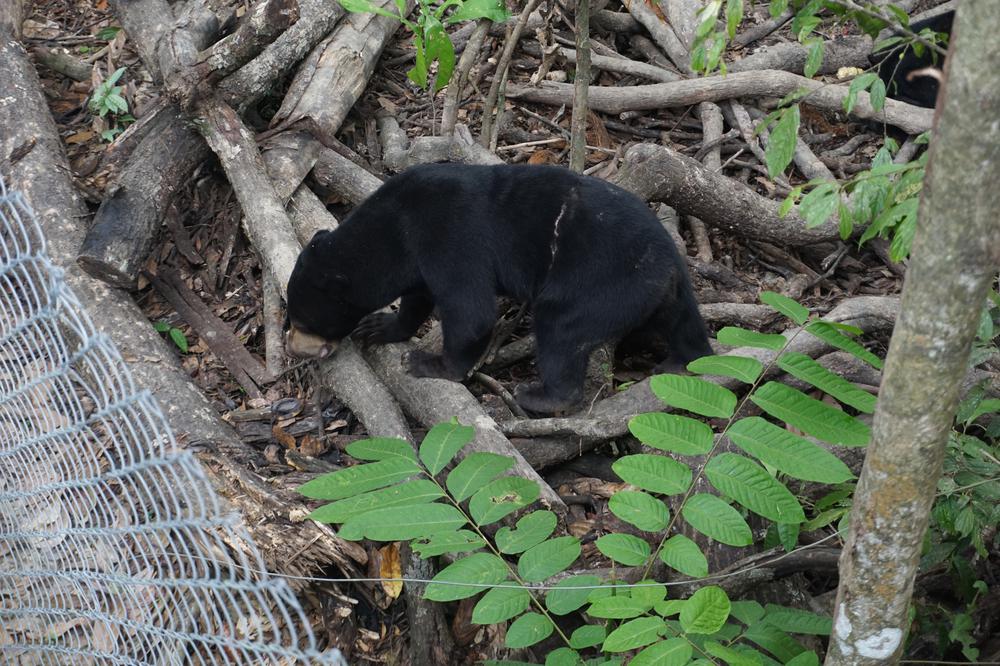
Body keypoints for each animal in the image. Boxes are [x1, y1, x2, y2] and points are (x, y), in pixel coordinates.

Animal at [286, 163, 716, 412]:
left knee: (560, 331)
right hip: (664, 292)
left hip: (598, 285)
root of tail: (667, 263)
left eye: (303, 320)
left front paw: (428, 364)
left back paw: (538, 395)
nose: (293, 348)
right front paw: (379, 327)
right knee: (683, 324)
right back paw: (682, 361)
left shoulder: (448, 234)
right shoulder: (418, 257)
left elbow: (470, 310)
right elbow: (417, 297)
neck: (395, 229)